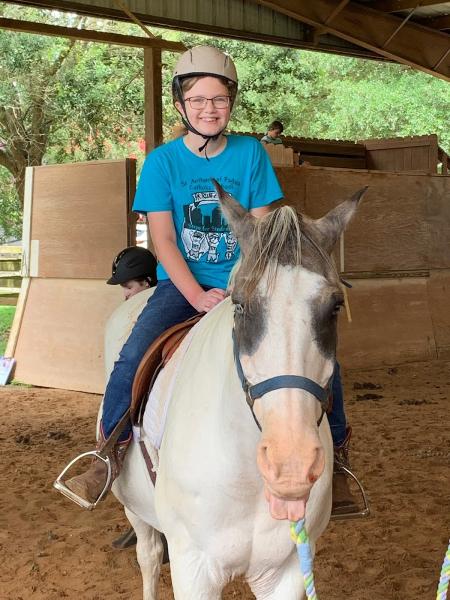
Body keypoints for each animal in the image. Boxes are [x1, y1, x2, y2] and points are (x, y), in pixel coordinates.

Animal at [103, 180, 364, 596]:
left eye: (335, 306)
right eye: (240, 304)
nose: (290, 465)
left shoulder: (288, 570)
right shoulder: (193, 569)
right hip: (133, 506)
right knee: (149, 557)